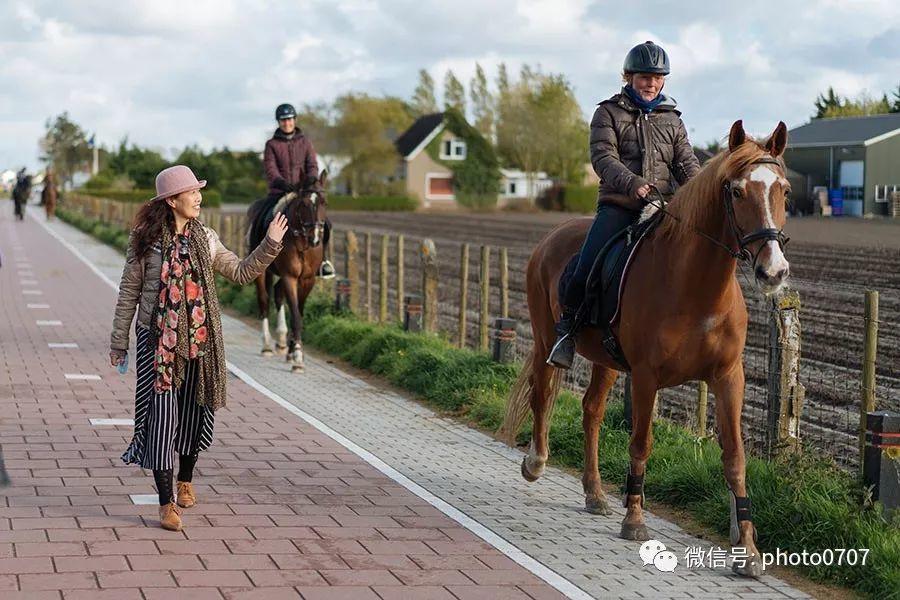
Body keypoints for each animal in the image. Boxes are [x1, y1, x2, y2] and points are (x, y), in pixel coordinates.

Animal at [248, 171, 328, 372]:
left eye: (324, 202)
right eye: (304, 204)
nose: (315, 238)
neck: (301, 241)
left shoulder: (307, 280)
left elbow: (299, 311)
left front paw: (293, 351)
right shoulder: (290, 277)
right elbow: (296, 316)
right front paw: (298, 357)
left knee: (277, 294)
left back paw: (283, 341)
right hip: (262, 273)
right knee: (264, 301)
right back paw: (267, 346)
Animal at [502, 120, 792, 576]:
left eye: (784, 190)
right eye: (736, 191)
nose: (774, 271)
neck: (697, 289)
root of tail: (553, 235)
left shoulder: (729, 378)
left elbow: (735, 457)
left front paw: (747, 548)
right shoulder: (646, 377)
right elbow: (641, 443)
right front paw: (635, 519)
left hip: (605, 360)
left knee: (591, 411)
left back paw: (595, 493)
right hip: (548, 338)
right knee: (544, 393)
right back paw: (535, 463)